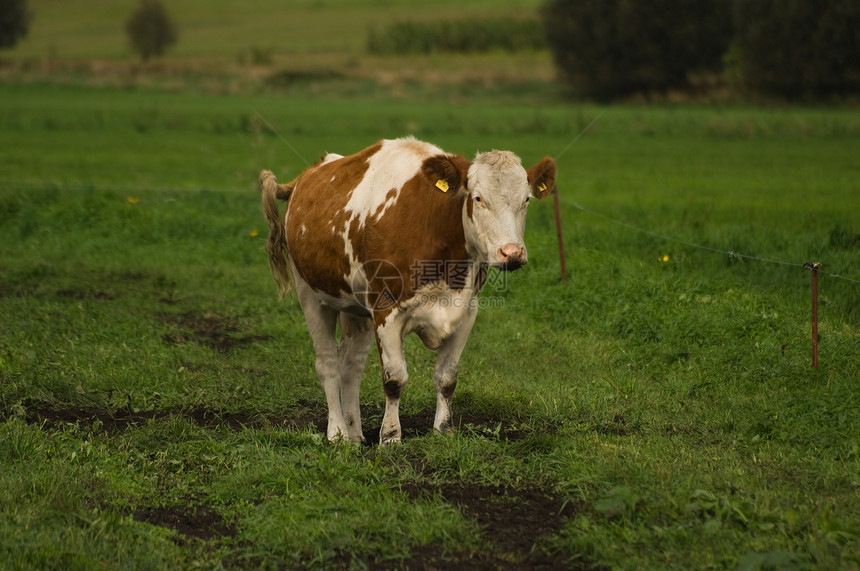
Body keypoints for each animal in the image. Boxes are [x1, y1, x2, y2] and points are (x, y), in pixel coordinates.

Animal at [260, 139, 556, 446]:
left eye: (526, 200)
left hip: (356, 308)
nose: (512, 253)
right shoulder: (385, 310)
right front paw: (390, 437)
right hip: (311, 294)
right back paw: (338, 433)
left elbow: (447, 377)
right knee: (328, 364)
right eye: (478, 198)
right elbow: (394, 379)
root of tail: (307, 174)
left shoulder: (466, 312)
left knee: (351, 366)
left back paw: (355, 434)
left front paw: (443, 431)